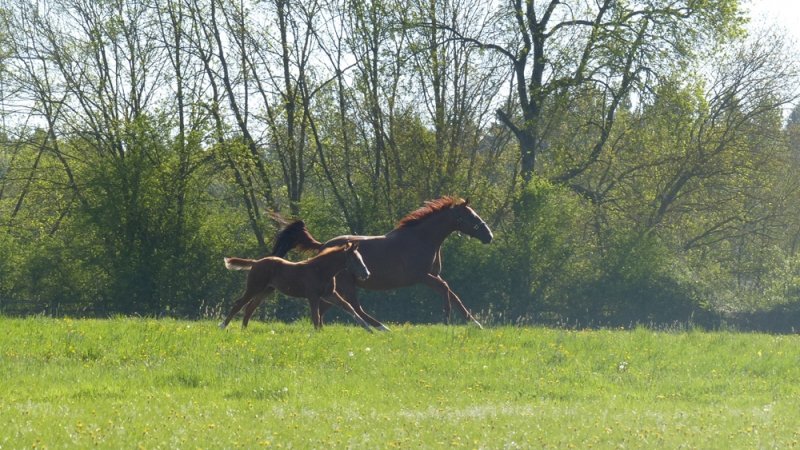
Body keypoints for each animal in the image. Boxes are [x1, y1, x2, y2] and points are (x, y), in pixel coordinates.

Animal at [219, 241, 374, 332]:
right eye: (355, 259)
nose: (367, 274)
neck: (321, 270)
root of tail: (256, 262)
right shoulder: (313, 296)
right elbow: (316, 315)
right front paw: (318, 333)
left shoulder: (330, 294)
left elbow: (348, 306)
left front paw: (368, 328)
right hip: (254, 287)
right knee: (239, 304)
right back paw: (222, 326)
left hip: (266, 290)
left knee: (250, 307)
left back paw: (244, 330)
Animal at [255, 196, 493, 331]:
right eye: (471, 216)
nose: (489, 236)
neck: (421, 239)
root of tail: (324, 246)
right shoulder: (422, 277)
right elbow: (446, 289)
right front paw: (446, 318)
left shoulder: (432, 276)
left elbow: (453, 293)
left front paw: (474, 322)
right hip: (347, 285)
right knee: (355, 307)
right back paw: (381, 327)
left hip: (335, 288)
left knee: (328, 308)